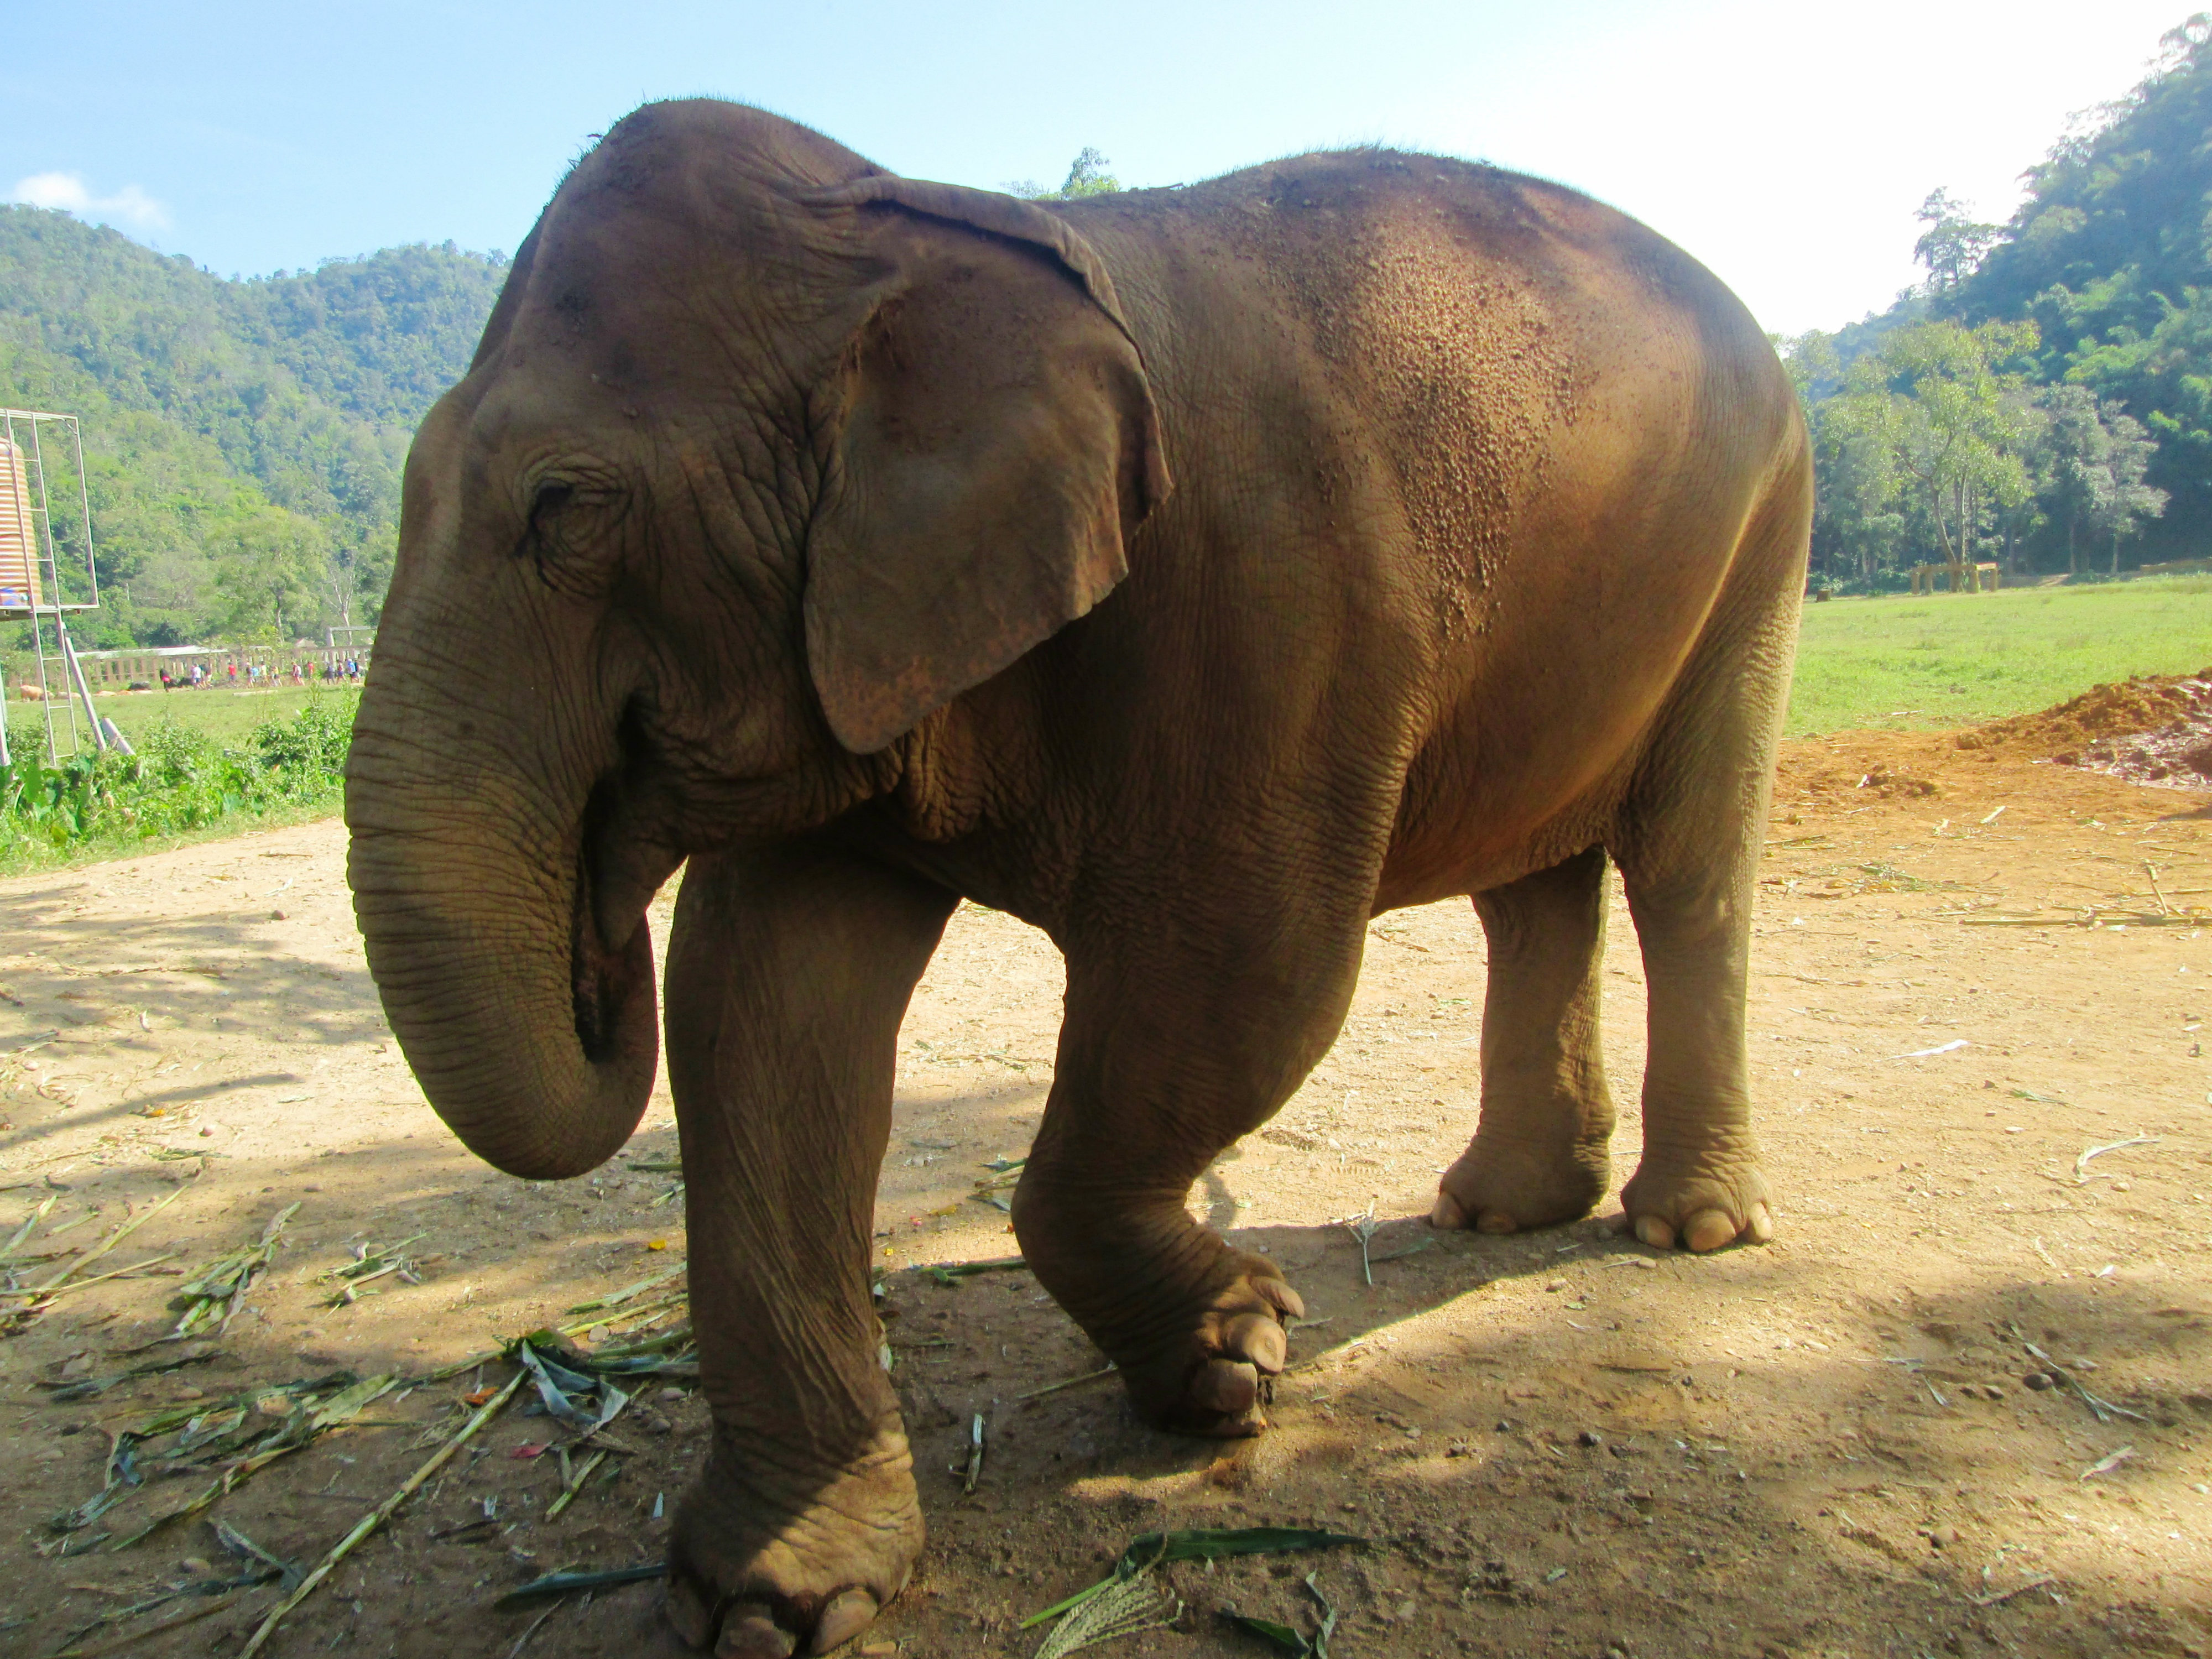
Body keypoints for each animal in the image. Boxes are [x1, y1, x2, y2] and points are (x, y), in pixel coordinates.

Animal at [346, 100, 1809, 1657]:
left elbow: (1244, 980)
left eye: (563, 508)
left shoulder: (1269, 604)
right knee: (1529, 882)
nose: (594, 911)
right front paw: (779, 1601)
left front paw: (1237, 1360)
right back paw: (1499, 1206)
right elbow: (759, 1018)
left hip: (1762, 538)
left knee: (1687, 865)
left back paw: (1687, 1226)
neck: (909, 219)